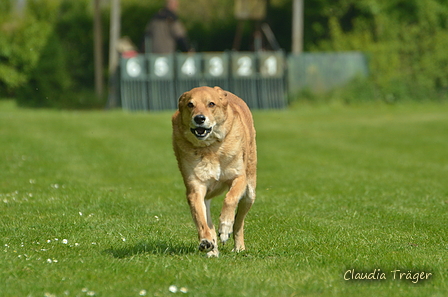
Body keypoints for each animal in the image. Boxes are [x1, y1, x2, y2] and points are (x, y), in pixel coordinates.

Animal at [172, 86, 256, 256]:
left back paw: (238, 247)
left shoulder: (239, 177)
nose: (199, 118)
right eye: (190, 104)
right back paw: (212, 249)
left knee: (239, 222)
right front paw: (206, 240)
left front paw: (224, 227)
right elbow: (201, 220)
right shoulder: (195, 188)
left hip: (250, 192)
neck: (210, 148)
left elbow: (230, 198)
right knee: (208, 220)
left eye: (211, 104)